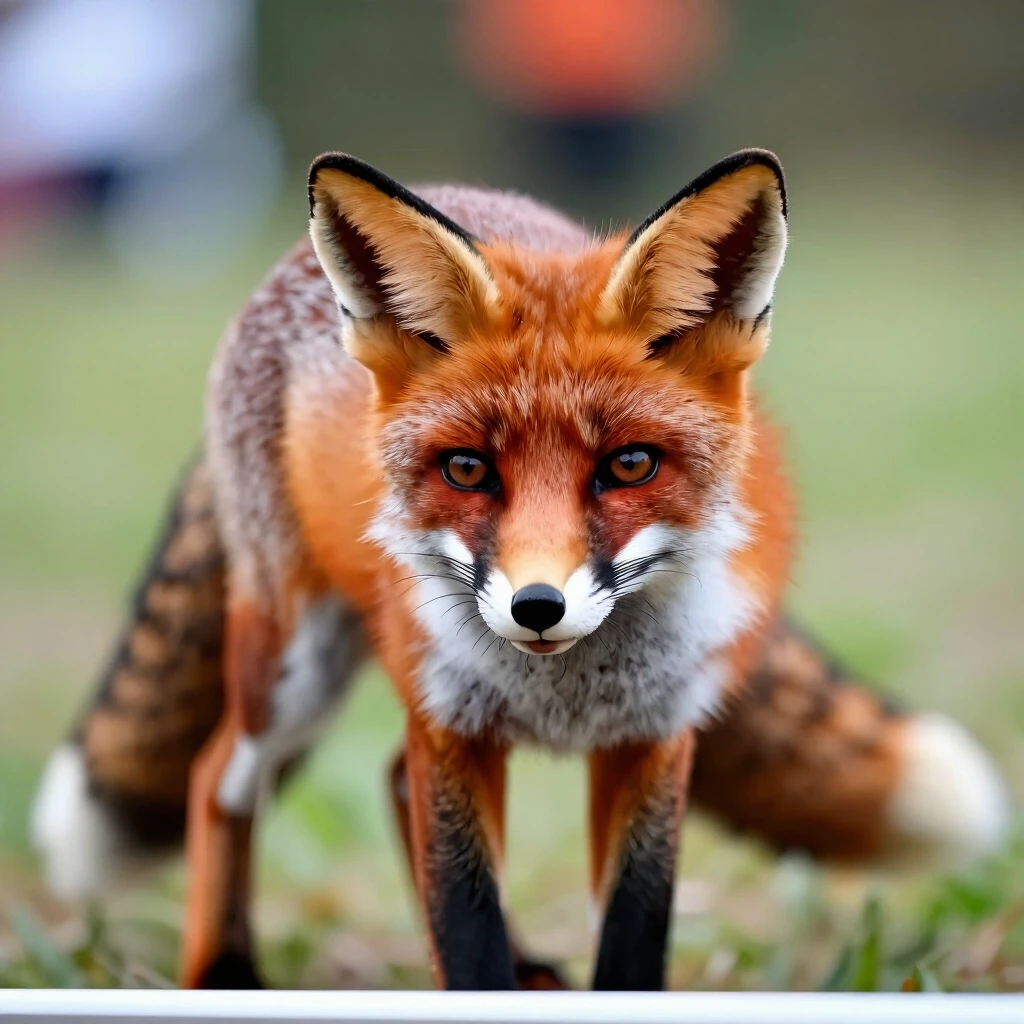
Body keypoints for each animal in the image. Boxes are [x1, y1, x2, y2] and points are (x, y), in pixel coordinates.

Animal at [31, 149, 1009, 991]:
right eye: (468, 470)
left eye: (629, 466)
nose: (538, 607)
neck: (563, 697)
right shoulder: (451, 729)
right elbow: (466, 935)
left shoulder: (653, 741)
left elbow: (631, 938)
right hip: (289, 673)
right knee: (218, 777)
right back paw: (222, 972)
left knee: (381, 776)